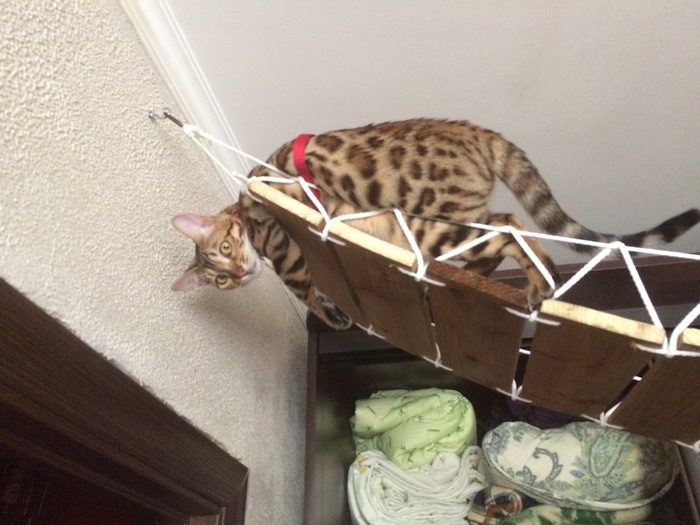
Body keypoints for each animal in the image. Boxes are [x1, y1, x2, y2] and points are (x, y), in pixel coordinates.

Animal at [172, 119, 699, 329]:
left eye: (222, 252)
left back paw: (538, 282)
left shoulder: (284, 245)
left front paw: (332, 315)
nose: (237, 274)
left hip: (442, 221)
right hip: (442, 228)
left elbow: (311, 296)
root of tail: (476, 131)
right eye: (219, 279)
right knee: (500, 241)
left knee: (511, 227)